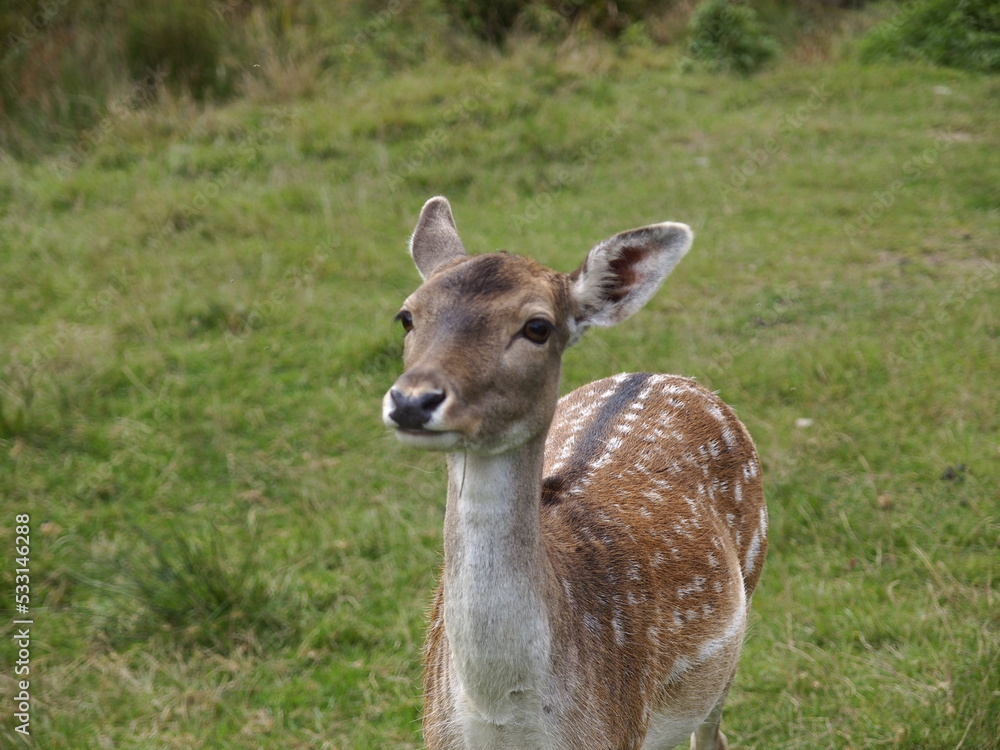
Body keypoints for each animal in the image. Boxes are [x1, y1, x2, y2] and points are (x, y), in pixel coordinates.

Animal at [380, 197, 764, 748]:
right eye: (407, 315)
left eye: (537, 327)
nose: (413, 400)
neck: (505, 718)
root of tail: (661, 374)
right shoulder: (435, 730)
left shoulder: (616, 729)